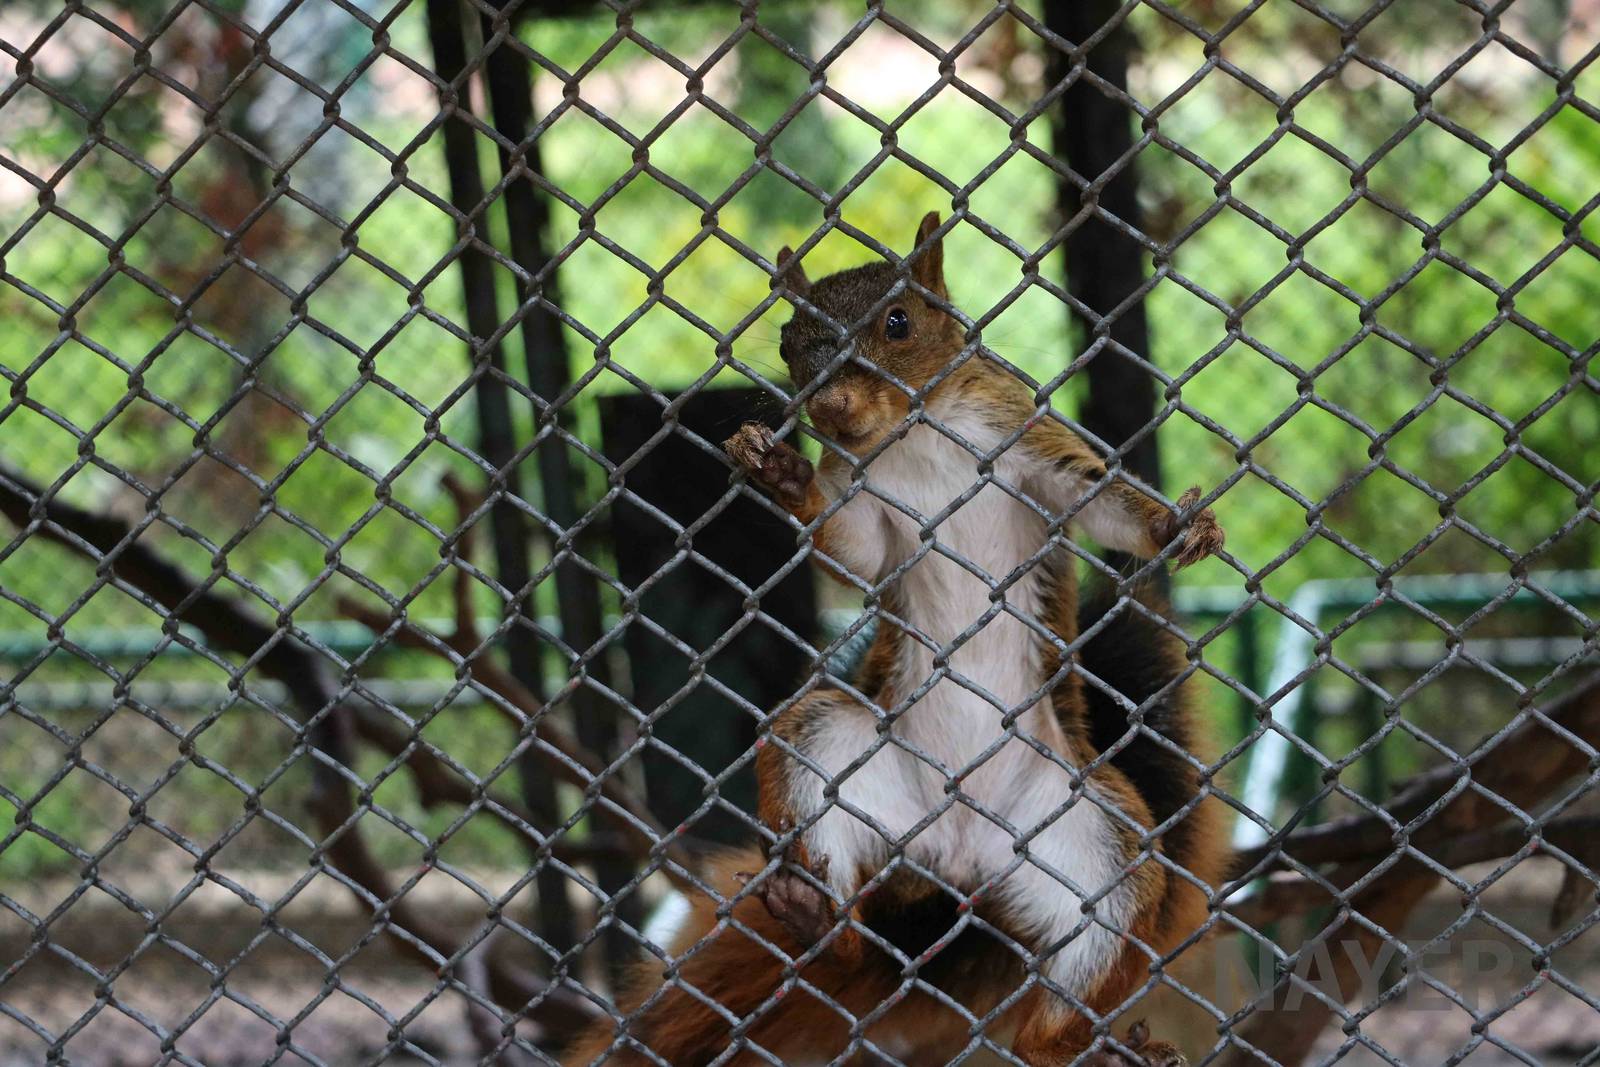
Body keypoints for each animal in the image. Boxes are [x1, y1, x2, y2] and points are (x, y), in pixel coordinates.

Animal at [562, 214, 1228, 1067]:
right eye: (790, 341)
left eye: (900, 323)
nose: (829, 408)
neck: (913, 432)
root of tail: (954, 859)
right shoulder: (862, 499)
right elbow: (851, 546)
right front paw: (782, 473)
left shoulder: (1027, 444)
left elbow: (1102, 503)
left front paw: (1178, 527)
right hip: (829, 754)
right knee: (845, 925)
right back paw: (815, 918)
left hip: (1099, 848)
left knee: (1072, 977)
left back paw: (1083, 1043)